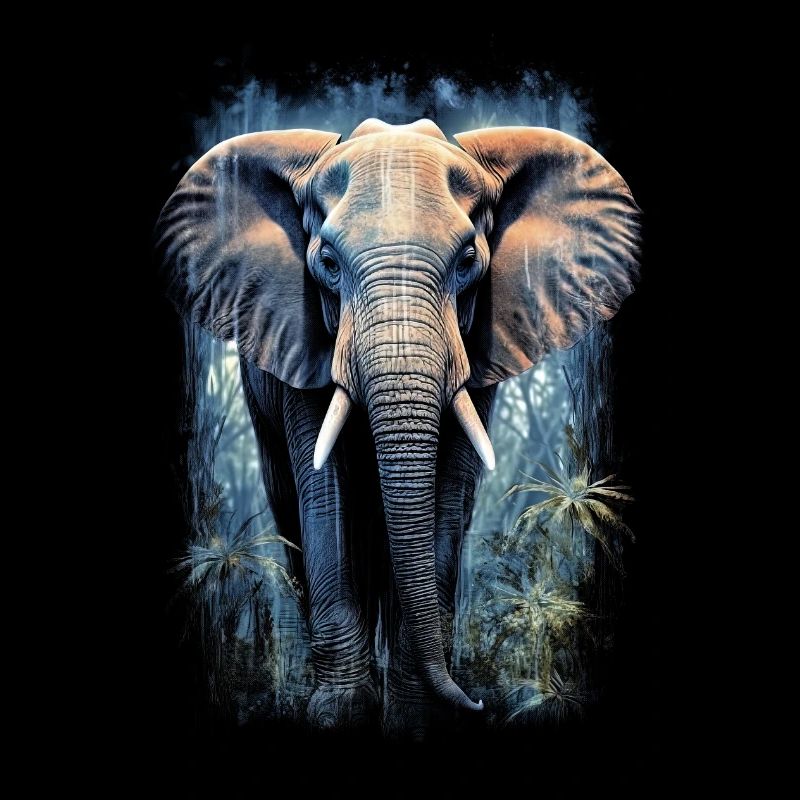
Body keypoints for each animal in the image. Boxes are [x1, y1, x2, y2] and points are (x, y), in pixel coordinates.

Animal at [156, 117, 640, 734]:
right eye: (327, 263)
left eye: (468, 260)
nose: (477, 704)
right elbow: (325, 492)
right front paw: (340, 712)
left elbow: (447, 492)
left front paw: (415, 713)